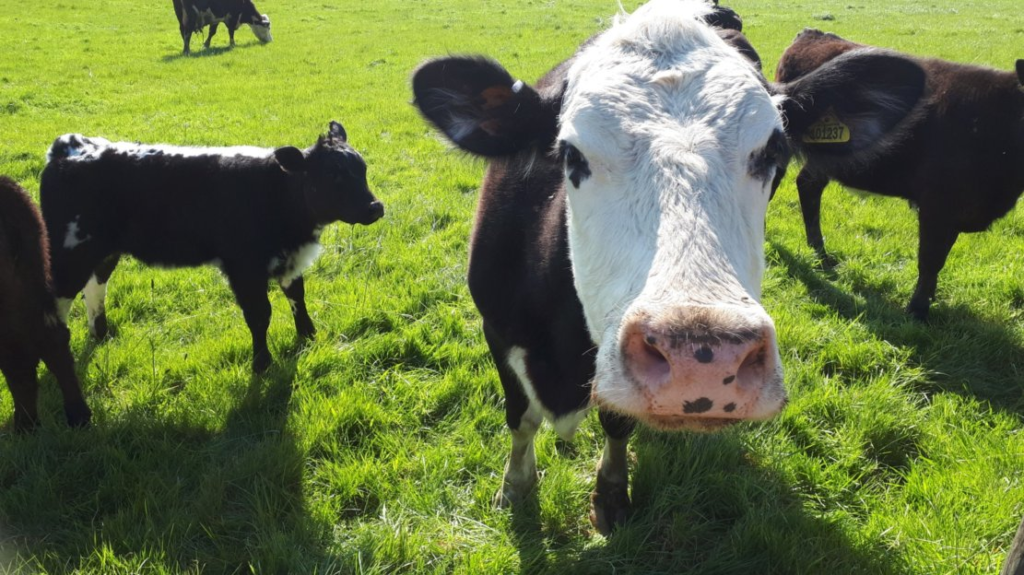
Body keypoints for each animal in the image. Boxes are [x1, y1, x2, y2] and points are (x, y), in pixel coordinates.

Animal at [38, 120, 385, 372]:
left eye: (363, 169)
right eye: (332, 175)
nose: (375, 207)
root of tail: (71, 149)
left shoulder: (288, 259)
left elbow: (297, 297)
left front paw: (309, 337)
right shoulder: (244, 267)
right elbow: (260, 314)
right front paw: (262, 364)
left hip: (102, 251)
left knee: (95, 286)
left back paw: (101, 334)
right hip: (69, 251)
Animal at [411, 0, 925, 532]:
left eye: (774, 152)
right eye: (570, 154)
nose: (700, 360)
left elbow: (615, 420)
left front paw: (611, 493)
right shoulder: (496, 328)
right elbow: (520, 417)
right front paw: (515, 488)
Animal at [774, 29, 1024, 319]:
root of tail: (812, 34)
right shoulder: (936, 206)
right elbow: (930, 260)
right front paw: (917, 311)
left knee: (808, 185)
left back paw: (820, 254)